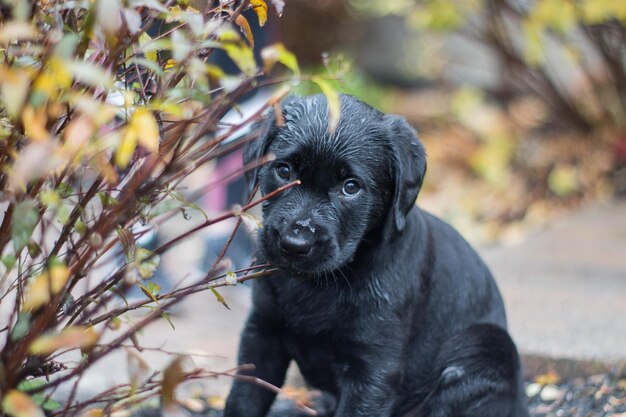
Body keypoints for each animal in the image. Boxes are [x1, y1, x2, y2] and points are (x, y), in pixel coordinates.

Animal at [224, 95, 528, 416]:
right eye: (283, 171)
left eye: (351, 187)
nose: (295, 244)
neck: (317, 284)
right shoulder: (262, 334)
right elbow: (243, 397)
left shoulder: (373, 367)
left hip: (487, 344)